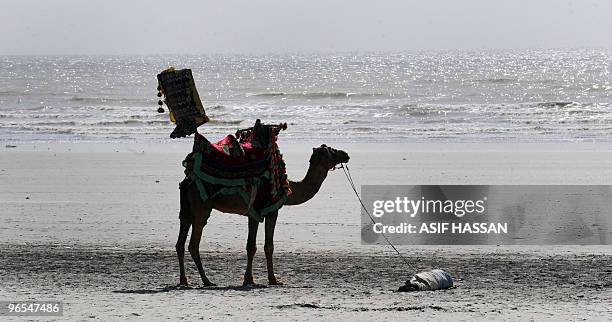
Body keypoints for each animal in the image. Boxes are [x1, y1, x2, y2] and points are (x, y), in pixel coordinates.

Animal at [176, 142, 350, 286]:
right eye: (331, 151)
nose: (346, 154)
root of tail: (187, 180)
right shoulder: (268, 210)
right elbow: (263, 246)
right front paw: (269, 280)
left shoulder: (257, 213)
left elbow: (257, 246)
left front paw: (254, 279)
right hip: (201, 206)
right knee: (193, 243)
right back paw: (207, 281)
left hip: (187, 208)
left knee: (180, 242)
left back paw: (185, 280)